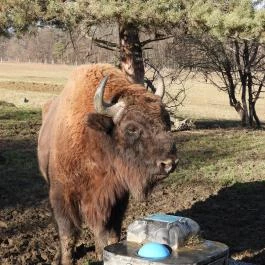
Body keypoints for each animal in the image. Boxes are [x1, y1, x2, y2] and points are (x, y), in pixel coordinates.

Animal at [37, 64, 177, 264]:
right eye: (131, 128)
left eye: (166, 121)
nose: (169, 163)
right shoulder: (62, 196)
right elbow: (68, 234)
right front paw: (66, 259)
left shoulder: (116, 198)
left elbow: (110, 233)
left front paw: (101, 252)